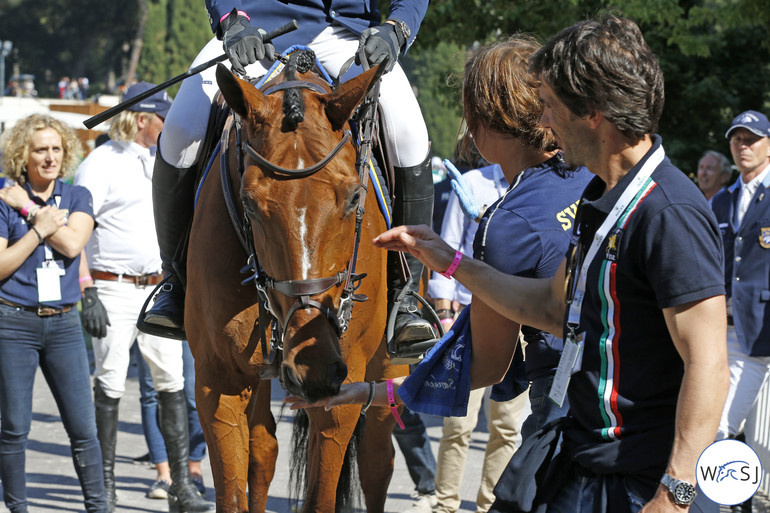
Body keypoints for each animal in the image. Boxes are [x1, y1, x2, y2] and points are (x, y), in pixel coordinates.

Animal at [184, 49, 408, 512]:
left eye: (354, 197)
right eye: (249, 203)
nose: (312, 365)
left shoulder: (342, 393)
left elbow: (322, 495)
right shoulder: (218, 382)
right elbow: (233, 488)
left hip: (387, 368)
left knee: (377, 458)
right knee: (264, 448)